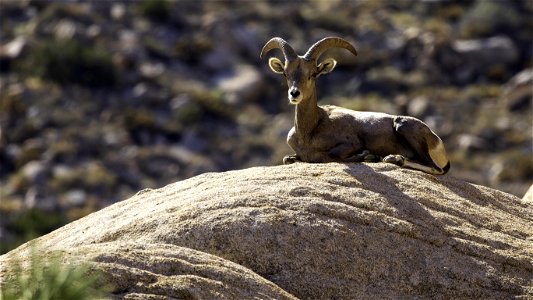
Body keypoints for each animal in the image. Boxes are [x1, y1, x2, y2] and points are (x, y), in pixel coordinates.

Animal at [260, 37, 448, 176]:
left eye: (312, 74)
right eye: (286, 73)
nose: (294, 94)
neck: (309, 131)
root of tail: (437, 141)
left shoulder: (351, 143)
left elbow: (330, 155)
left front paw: (367, 156)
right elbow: (287, 159)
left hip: (403, 125)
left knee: (435, 168)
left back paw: (394, 159)